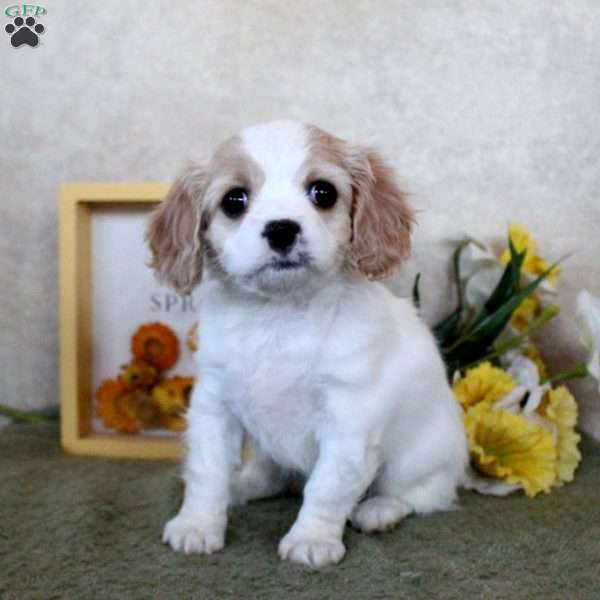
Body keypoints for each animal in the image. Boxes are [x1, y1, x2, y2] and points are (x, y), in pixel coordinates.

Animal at [146, 119, 468, 564]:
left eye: (323, 192)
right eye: (235, 200)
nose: (281, 228)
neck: (279, 317)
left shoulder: (347, 420)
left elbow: (327, 486)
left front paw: (311, 539)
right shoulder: (214, 406)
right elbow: (208, 471)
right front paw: (197, 524)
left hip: (420, 459)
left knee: (421, 496)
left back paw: (378, 510)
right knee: (273, 473)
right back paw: (243, 486)